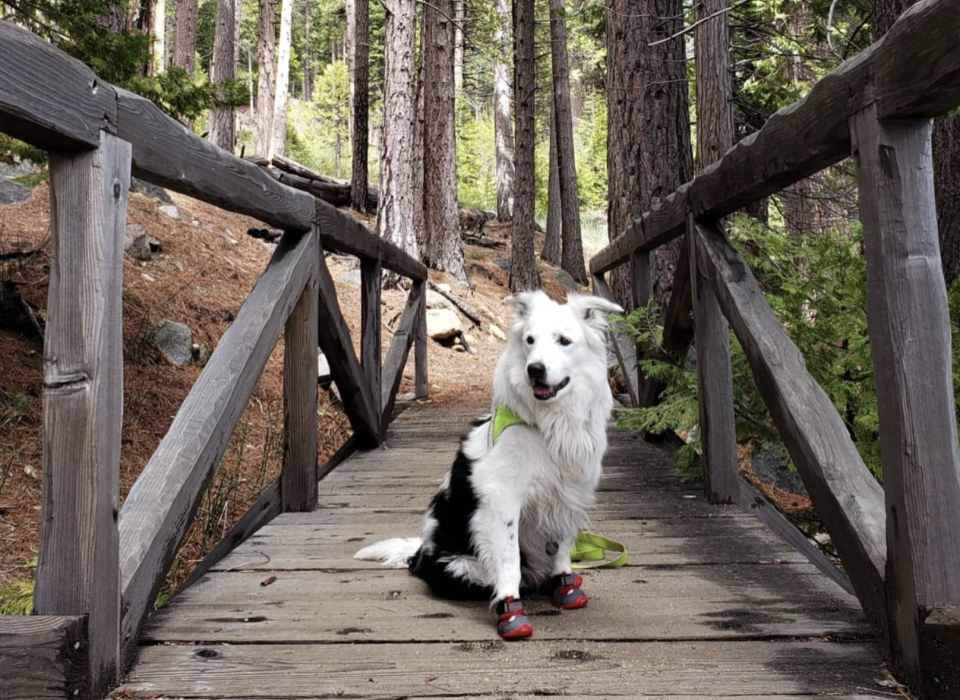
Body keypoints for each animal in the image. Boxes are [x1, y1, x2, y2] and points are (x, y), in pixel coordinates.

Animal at [354, 290, 624, 640]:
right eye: (530, 340)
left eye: (564, 341)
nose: (534, 370)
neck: (549, 425)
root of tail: (418, 554)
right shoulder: (502, 501)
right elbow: (509, 562)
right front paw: (511, 612)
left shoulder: (568, 495)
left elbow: (562, 548)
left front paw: (565, 586)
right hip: (458, 565)